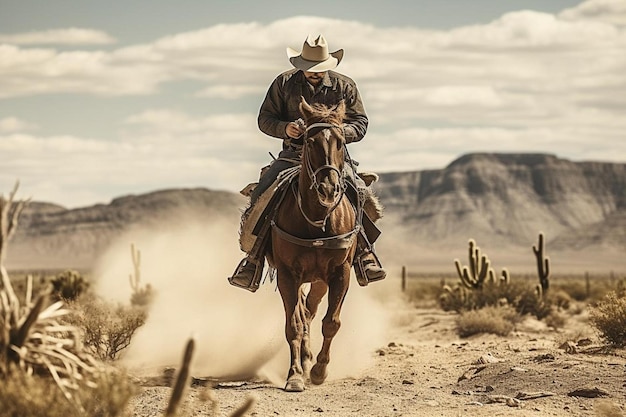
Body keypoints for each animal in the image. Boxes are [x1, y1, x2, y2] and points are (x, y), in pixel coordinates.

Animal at [266, 96, 358, 390]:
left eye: (340, 141)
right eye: (309, 141)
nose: (328, 188)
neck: (317, 219)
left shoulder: (340, 273)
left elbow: (331, 322)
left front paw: (319, 370)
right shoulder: (287, 274)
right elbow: (293, 324)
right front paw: (295, 375)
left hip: (319, 279)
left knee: (310, 310)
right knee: (302, 314)